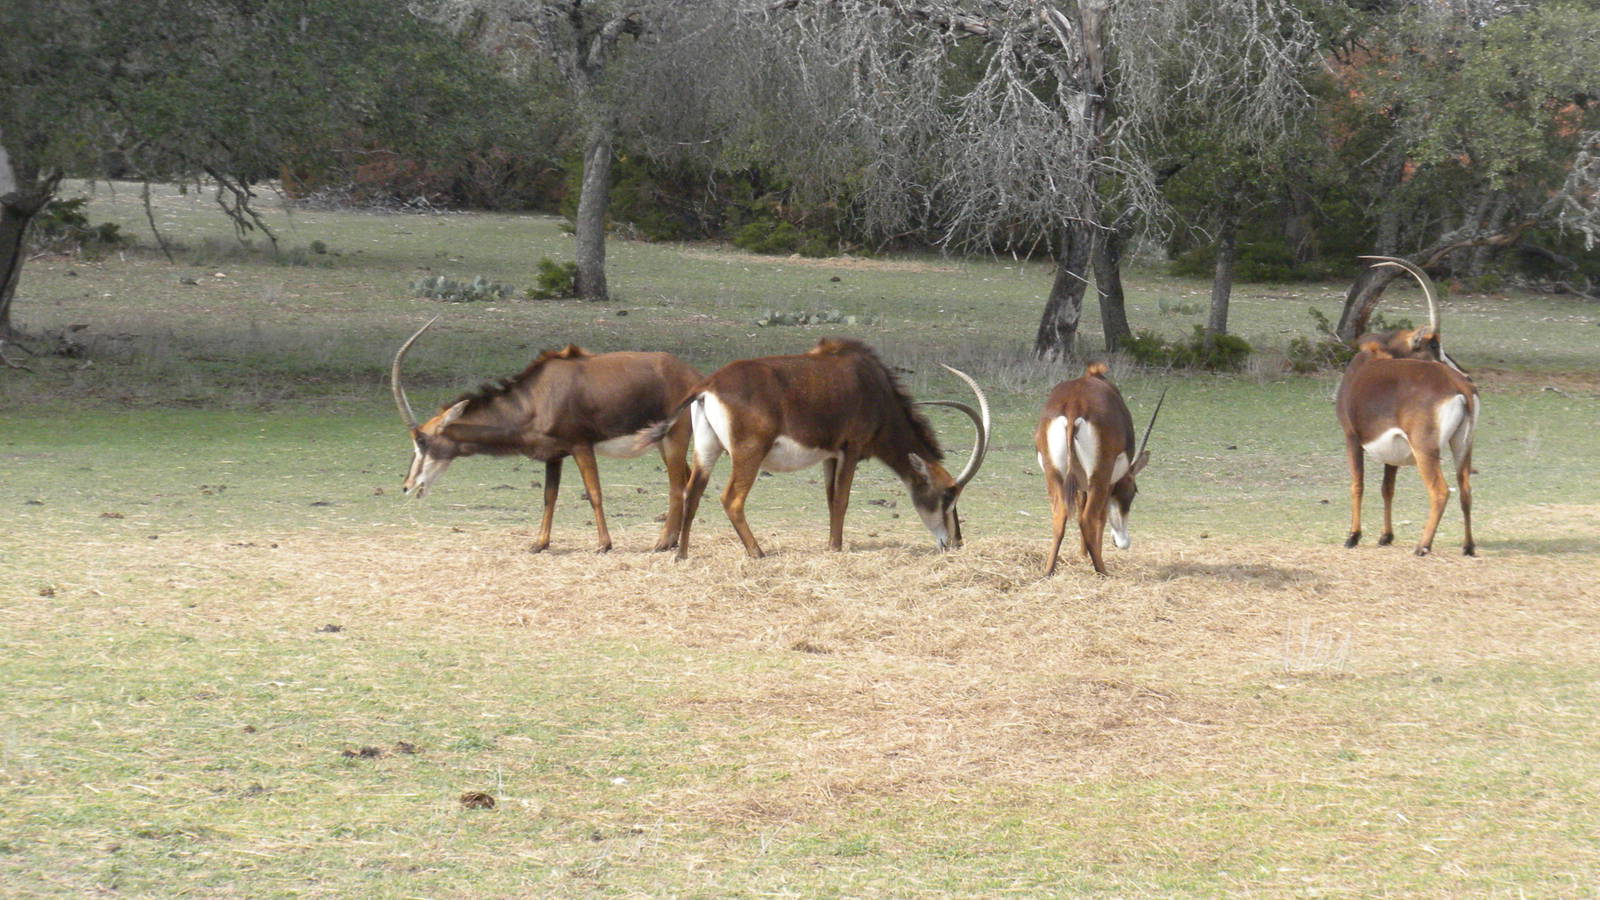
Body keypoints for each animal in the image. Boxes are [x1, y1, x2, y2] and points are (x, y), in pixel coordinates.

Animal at [391, 319, 702, 553]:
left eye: (422, 440)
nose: (407, 485)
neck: (535, 397)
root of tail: (694, 375)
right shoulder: (554, 455)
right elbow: (549, 497)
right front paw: (539, 543)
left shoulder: (580, 445)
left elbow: (594, 493)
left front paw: (604, 544)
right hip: (662, 442)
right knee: (686, 478)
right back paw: (675, 540)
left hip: (675, 437)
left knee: (677, 485)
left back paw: (663, 542)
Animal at [641, 338, 990, 560]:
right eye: (947, 494)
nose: (955, 543)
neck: (874, 387)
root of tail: (708, 385)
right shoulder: (851, 450)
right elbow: (842, 500)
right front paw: (836, 548)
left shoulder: (830, 456)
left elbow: (830, 499)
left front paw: (830, 544)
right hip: (748, 454)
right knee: (731, 499)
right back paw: (758, 553)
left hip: (706, 449)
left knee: (692, 491)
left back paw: (682, 555)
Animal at [1035, 362, 1164, 576]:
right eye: (1134, 491)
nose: (1122, 542)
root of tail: (1074, 406)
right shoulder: (1109, 482)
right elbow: (1101, 517)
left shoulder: (1081, 484)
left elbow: (1080, 506)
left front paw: (1082, 555)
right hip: (1099, 476)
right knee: (1089, 517)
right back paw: (1102, 571)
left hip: (1053, 473)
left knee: (1060, 514)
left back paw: (1048, 571)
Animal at [1335, 257, 1478, 556]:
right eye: (1432, 346)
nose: (1467, 374)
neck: (1373, 357)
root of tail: (1460, 387)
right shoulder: (1394, 450)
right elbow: (1387, 488)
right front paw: (1385, 536)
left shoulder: (1351, 436)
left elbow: (1358, 484)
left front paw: (1353, 536)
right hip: (1463, 446)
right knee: (1465, 488)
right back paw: (1468, 546)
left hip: (1425, 449)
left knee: (1440, 490)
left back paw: (1423, 546)